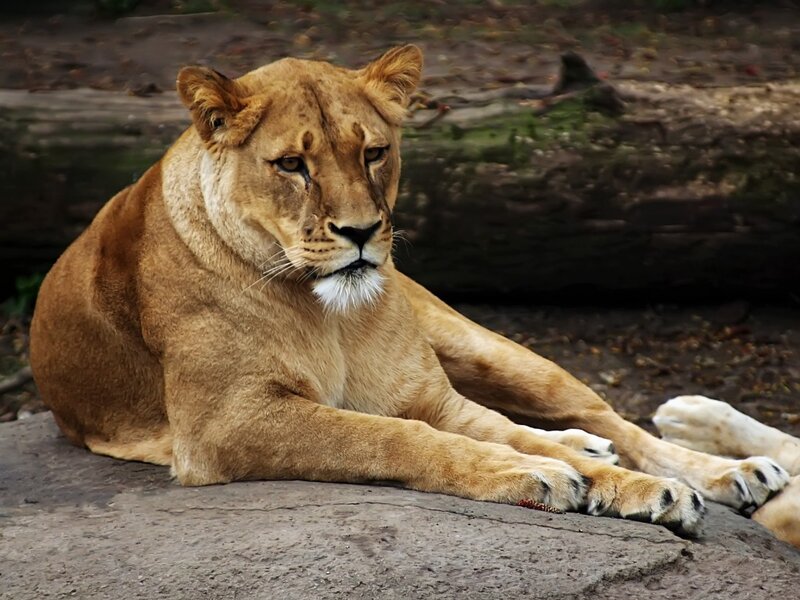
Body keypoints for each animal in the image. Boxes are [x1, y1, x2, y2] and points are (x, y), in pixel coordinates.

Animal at [29, 45, 788, 537]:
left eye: (373, 152)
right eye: (292, 165)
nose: (362, 232)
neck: (327, 314)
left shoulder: (428, 396)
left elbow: (486, 432)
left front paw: (641, 488)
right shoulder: (227, 423)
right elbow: (396, 438)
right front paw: (543, 476)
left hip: (485, 345)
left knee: (608, 417)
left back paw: (734, 472)